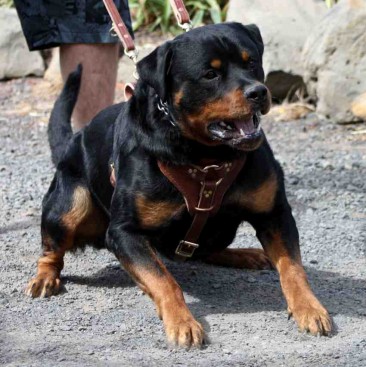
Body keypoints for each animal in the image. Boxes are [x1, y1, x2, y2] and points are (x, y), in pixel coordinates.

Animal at [25, 22, 332, 348]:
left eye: (251, 63)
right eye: (210, 74)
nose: (258, 91)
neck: (207, 157)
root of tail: (74, 138)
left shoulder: (274, 213)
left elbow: (293, 268)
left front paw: (309, 307)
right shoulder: (124, 232)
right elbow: (164, 280)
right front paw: (182, 320)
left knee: (207, 250)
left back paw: (244, 254)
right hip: (69, 205)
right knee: (52, 249)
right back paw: (45, 277)